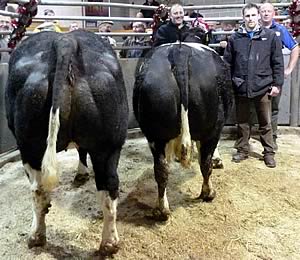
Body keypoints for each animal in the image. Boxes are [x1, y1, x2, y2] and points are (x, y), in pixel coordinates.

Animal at [5, 31, 128, 256]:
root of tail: (65, 40)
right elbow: (81, 151)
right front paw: (81, 173)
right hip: (108, 144)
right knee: (108, 187)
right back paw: (109, 244)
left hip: (30, 146)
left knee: (38, 189)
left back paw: (36, 236)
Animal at [132, 40, 233, 219]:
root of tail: (179, 51)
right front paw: (218, 159)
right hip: (212, 126)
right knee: (205, 163)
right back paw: (208, 193)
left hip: (155, 134)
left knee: (161, 169)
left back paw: (161, 210)